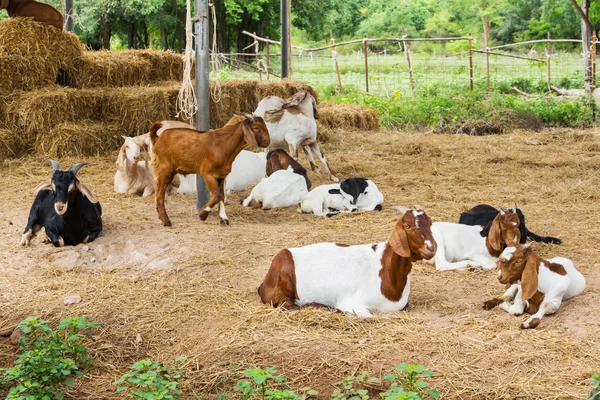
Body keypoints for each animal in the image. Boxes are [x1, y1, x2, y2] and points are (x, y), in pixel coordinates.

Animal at [258, 206, 436, 316]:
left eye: (430, 224)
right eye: (407, 226)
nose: (431, 247)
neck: (386, 270)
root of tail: (264, 283)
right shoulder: (353, 303)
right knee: (287, 305)